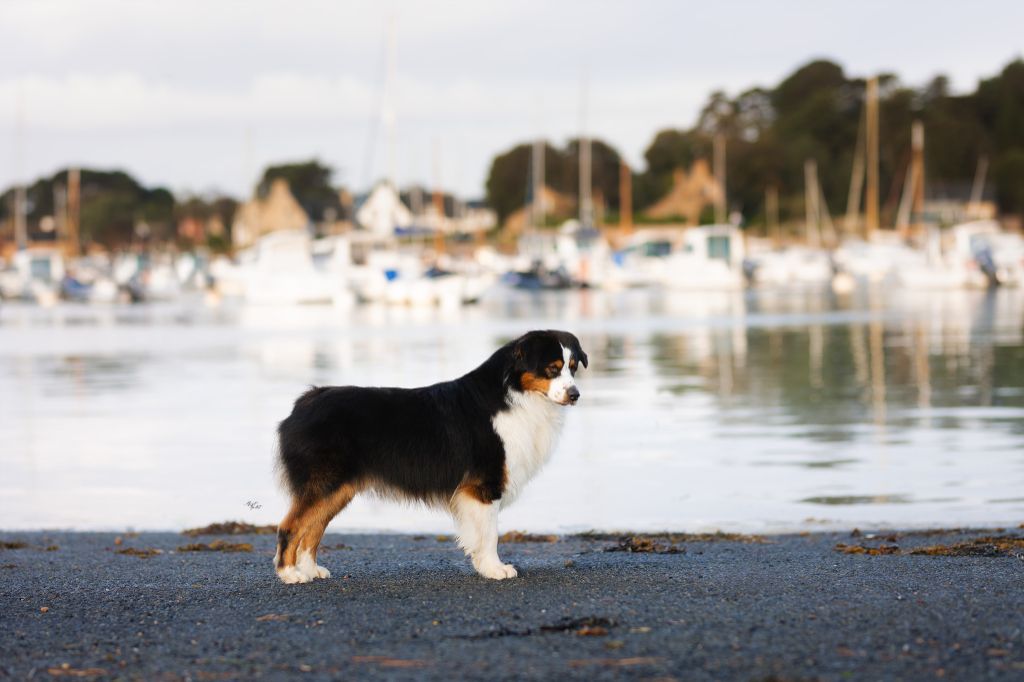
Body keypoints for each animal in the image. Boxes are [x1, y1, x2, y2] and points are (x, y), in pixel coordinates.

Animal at [276, 327, 589, 577]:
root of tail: (304, 402)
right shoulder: (484, 485)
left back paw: (311, 570)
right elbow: (490, 534)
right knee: (290, 526)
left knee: (313, 528)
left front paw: (484, 567)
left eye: (573, 367)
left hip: (337, 489)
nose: (575, 395)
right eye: (552, 368)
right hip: (325, 483)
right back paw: (290, 574)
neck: (516, 396)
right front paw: (495, 569)